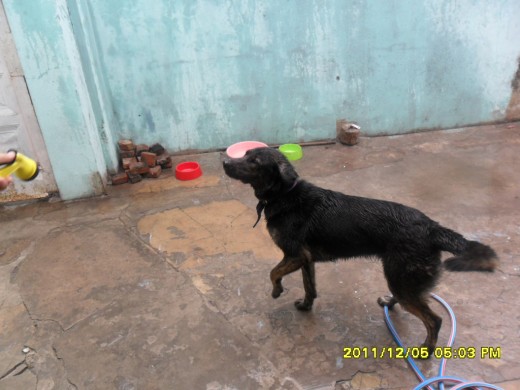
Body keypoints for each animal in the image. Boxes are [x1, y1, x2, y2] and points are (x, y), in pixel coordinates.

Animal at [222, 147, 496, 356]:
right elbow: (310, 287)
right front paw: (306, 305)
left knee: (434, 320)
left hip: (401, 276)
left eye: (254, 162)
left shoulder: (294, 256)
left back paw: (426, 351)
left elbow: (272, 273)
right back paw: (390, 302)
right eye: (244, 154)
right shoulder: (306, 259)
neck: (284, 194)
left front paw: (277, 290)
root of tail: (433, 228)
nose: (224, 161)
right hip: (398, 274)